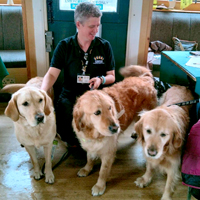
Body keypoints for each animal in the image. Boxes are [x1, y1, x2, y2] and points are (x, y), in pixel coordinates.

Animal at [72, 65, 158, 195]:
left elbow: (103, 172)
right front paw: (86, 169)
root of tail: (145, 79)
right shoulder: (90, 145)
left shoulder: (108, 152)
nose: (116, 128)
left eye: (110, 108)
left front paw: (100, 186)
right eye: (97, 112)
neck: (94, 134)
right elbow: (89, 158)